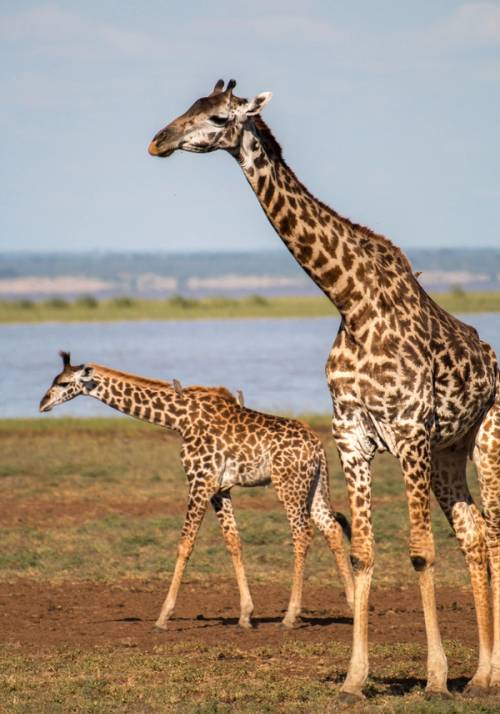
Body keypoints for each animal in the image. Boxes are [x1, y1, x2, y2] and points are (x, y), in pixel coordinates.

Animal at [39, 352, 354, 630]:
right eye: (54, 380)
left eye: (64, 383)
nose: (42, 404)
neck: (180, 419)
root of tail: (317, 447)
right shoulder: (220, 489)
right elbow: (233, 541)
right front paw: (245, 615)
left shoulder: (199, 481)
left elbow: (185, 543)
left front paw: (163, 616)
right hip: (314, 487)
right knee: (332, 528)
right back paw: (352, 605)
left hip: (289, 485)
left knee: (302, 534)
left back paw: (290, 617)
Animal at [147, 79, 500, 700]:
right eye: (186, 108)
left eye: (217, 118)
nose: (158, 140)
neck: (352, 302)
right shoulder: (352, 437)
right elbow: (362, 554)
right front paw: (356, 679)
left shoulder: (409, 432)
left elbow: (420, 553)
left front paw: (434, 678)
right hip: (447, 453)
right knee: (474, 534)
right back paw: (480, 675)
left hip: (484, 440)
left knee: (496, 535)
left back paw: (488, 672)